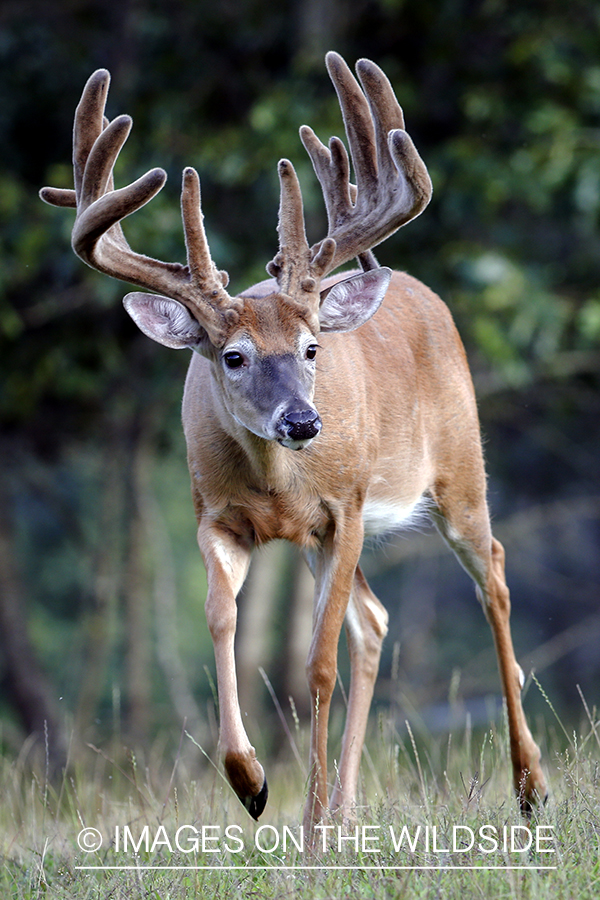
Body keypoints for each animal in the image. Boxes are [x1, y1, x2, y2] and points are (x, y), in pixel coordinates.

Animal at [39, 52, 548, 832]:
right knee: (375, 619)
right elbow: (222, 620)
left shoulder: (346, 506)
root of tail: (409, 287)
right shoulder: (217, 516)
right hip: (328, 538)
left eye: (312, 349)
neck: (278, 484)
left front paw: (305, 830)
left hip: (459, 471)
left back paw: (528, 784)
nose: (304, 422)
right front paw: (250, 782)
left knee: (492, 575)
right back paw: (346, 811)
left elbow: (317, 664)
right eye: (232, 357)